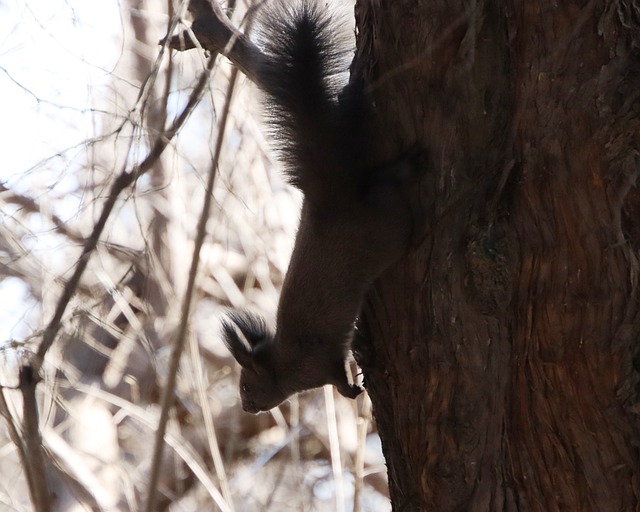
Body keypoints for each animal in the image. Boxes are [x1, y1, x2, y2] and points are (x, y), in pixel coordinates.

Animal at [222, 0, 418, 414]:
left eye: (246, 385)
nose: (246, 408)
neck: (283, 362)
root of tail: (330, 198)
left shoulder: (319, 365)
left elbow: (337, 375)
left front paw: (353, 390)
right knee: (379, 178)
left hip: (385, 227)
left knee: (388, 194)